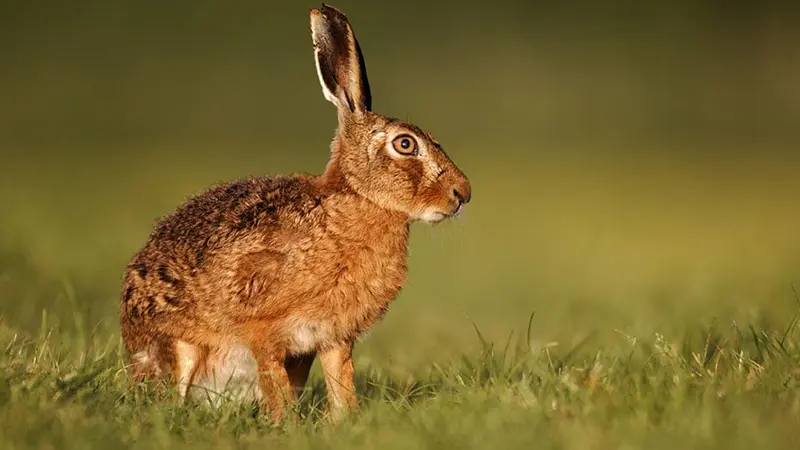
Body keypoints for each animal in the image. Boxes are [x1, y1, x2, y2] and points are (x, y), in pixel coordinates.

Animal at [120, 3, 471, 423]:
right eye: (405, 144)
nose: (462, 193)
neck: (356, 201)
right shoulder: (263, 326)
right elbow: (273, 377)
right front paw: (286, 424)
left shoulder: (333, 337)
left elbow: (341, 378)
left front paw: (344, 420)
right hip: (178, 349)